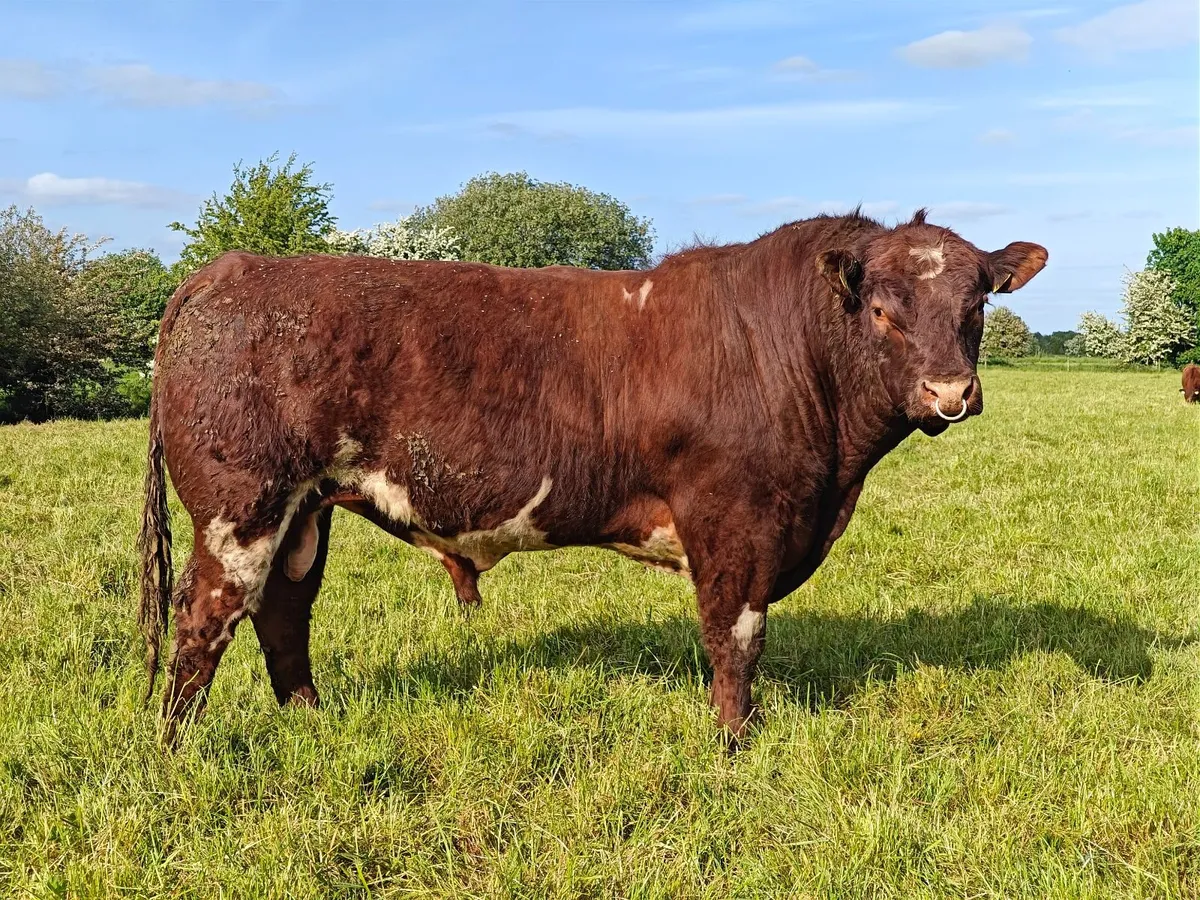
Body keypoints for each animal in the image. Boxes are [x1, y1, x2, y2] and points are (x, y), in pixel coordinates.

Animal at [138, 209, 1047, 743]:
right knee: (206, 617)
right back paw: (179, 748)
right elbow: (735, 636)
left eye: (976, 305)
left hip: (304, 509)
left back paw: (311, 724)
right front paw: (735, 742)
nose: (951, 392)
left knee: (282, 612)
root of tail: (230, 270)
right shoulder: (734, 519)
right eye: (884, 311)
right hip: (242, 504)